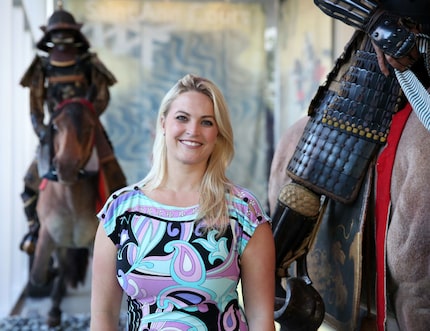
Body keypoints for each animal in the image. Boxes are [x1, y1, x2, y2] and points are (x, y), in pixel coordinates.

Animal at [30, 98, 101, 326]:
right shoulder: (49, 234)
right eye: (55, 126)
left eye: (89, 127)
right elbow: (38, 276)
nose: (66, 167)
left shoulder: (94, 240)